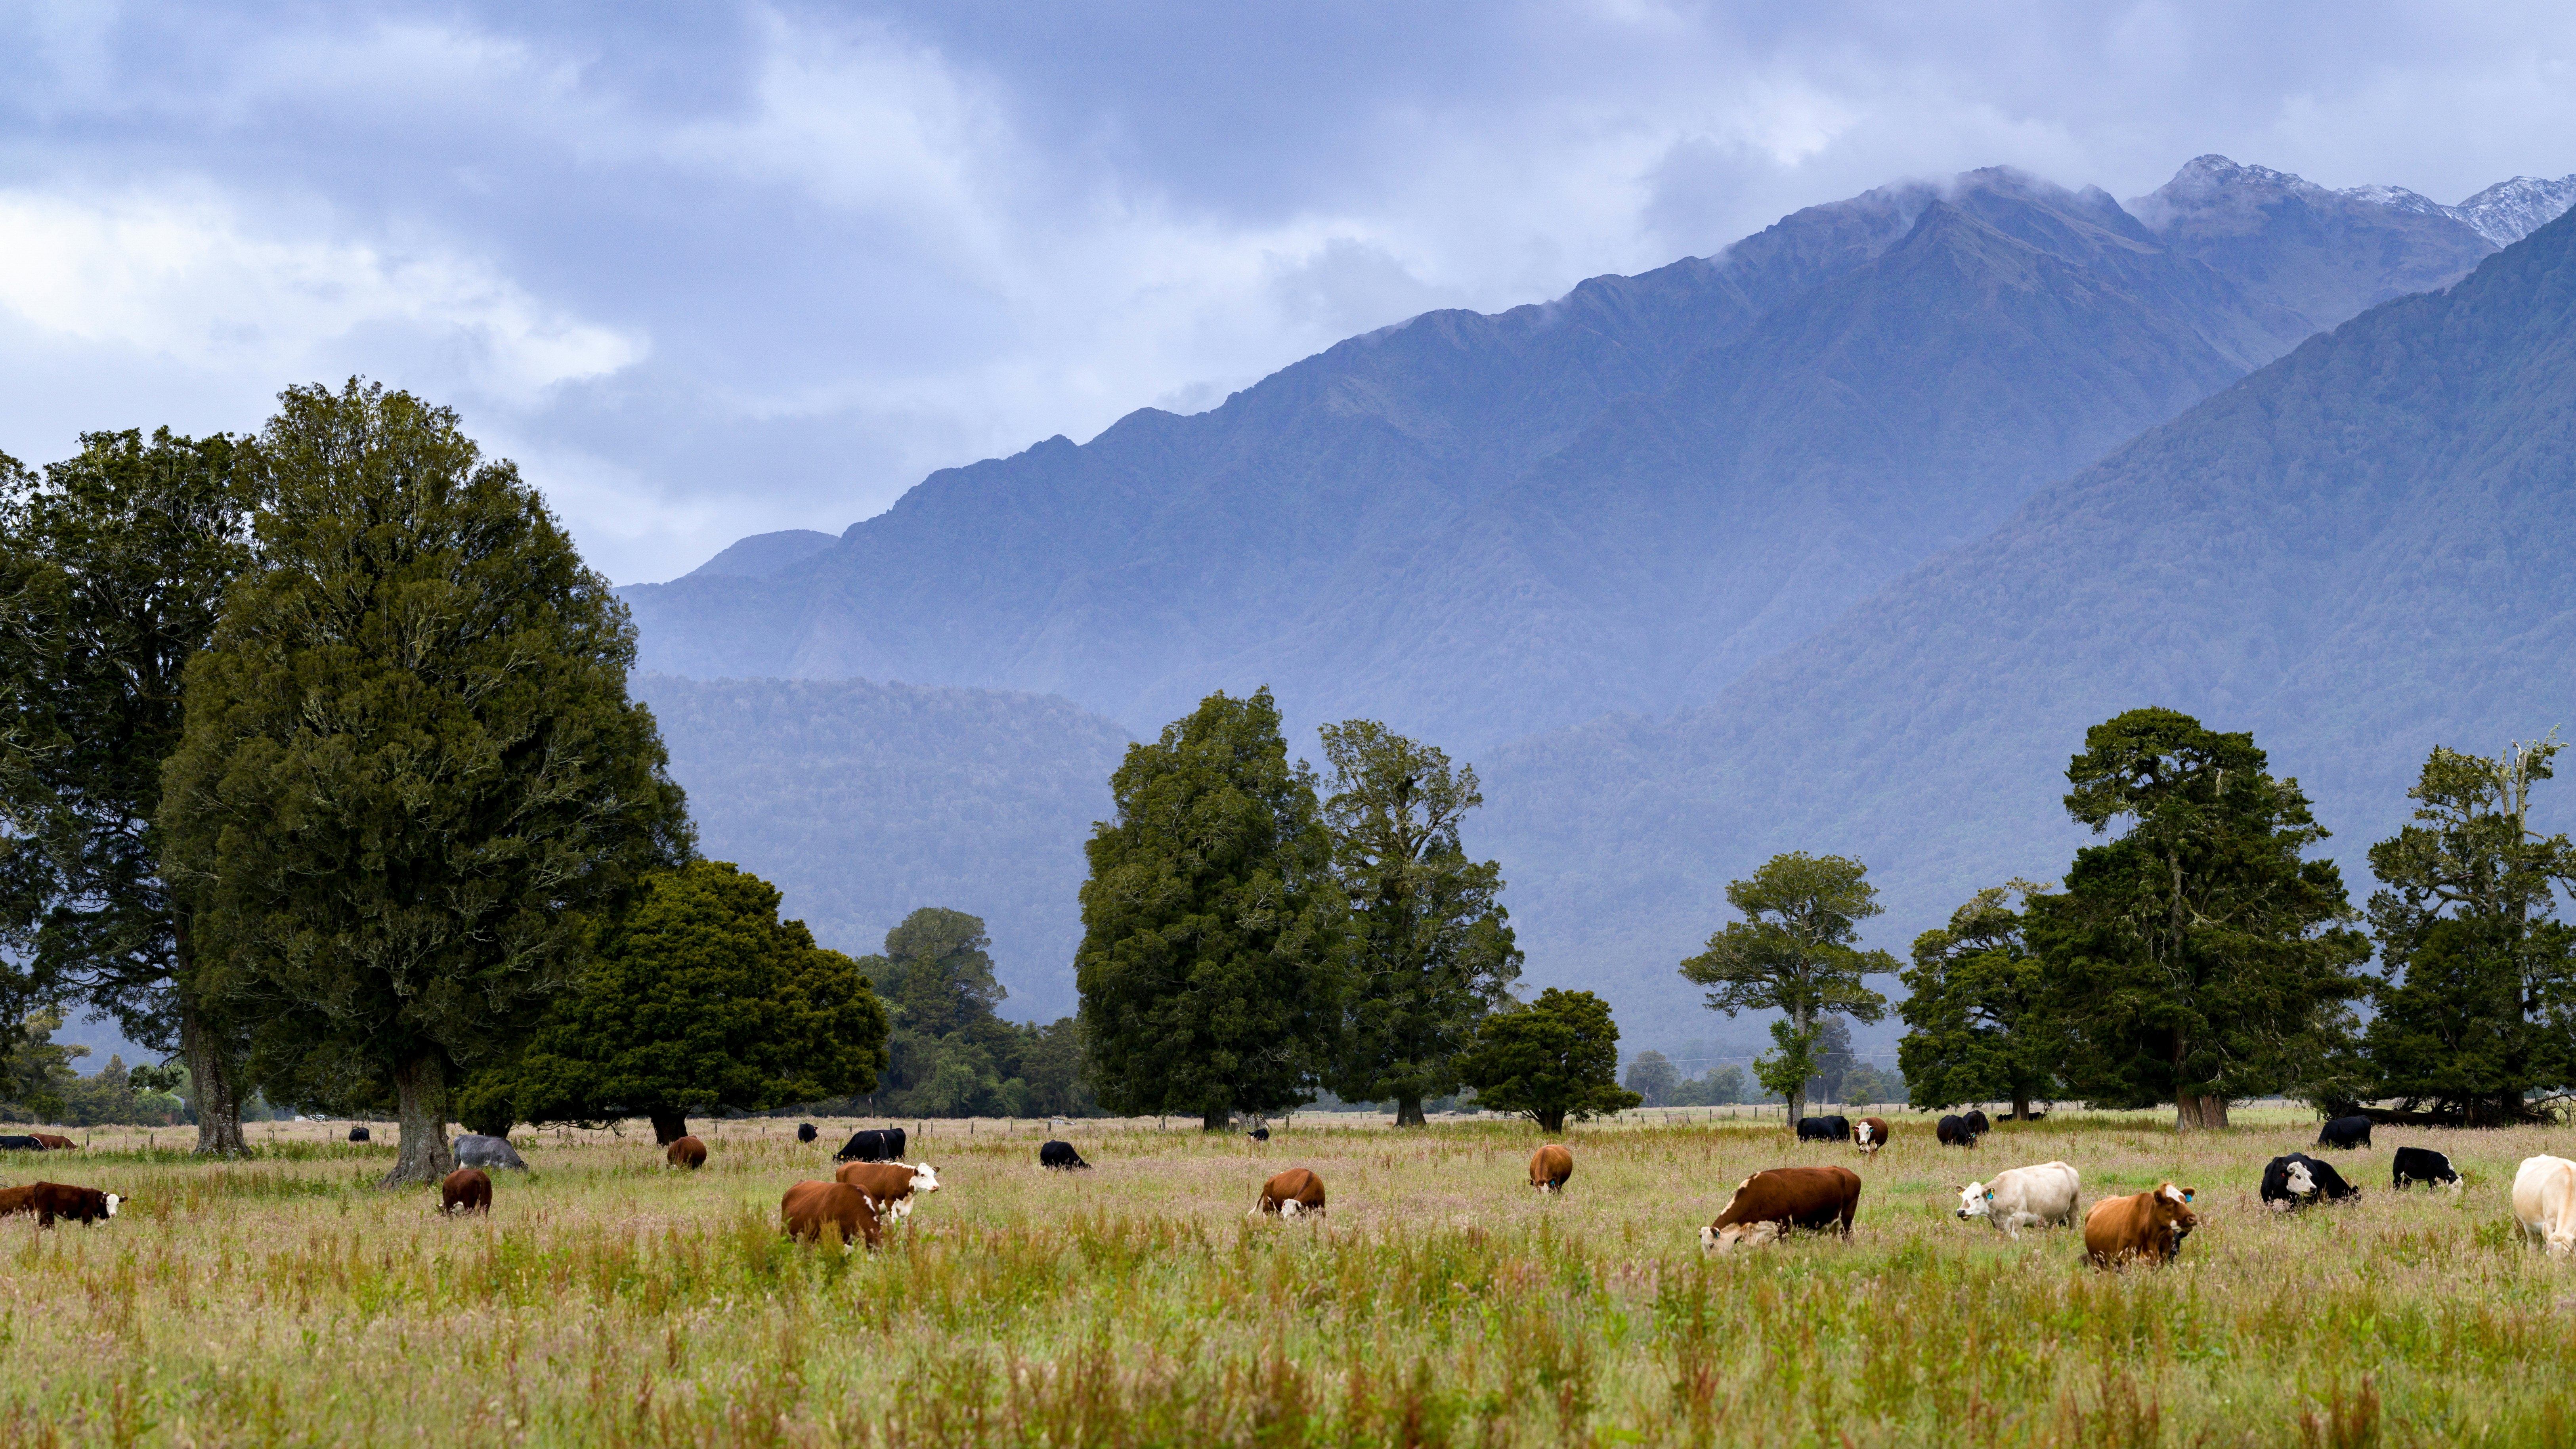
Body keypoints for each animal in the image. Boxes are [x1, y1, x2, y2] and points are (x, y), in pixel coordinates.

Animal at [0, 1181, 122, 1228]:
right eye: (107, 1203)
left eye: (117, 1204)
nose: (113, 1214)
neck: (96, 1199)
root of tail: (42, 1184)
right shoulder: (87, 1217)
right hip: (47, 1214)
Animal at [441, 1167, 493, 1215]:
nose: (442, 1215)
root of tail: (480, 1174)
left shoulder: (448, 1200)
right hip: (486, 1199)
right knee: (484, 1213)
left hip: (469, 1201)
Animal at [1700, 1166, 1862, 1254]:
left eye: (1711, 1245)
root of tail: (1849, 1174)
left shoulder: (1784, 1228)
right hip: (1836, 1223)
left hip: (1846, 1220)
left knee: (1848, 1239)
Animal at [1956, 1161, 2082, 1238]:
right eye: (1963, 1196)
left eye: (1977, 1196)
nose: (1960, 1211)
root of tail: (2067, 1166)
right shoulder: (2000, 1225)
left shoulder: (2020, 1217)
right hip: (2050, 1217)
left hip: (2074, 1209)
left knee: (2073, 1229)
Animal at [2393, 1146, 2461, 1191]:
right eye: (2454, 1186)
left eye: (2461, 1187)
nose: (2458, 1195)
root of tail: (2402, 1148)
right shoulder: (2431, 1178)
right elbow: (2432, 1188)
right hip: (2398, 1174)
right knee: (2396, 1183)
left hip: (2409, 1175)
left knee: (2406, 1183)